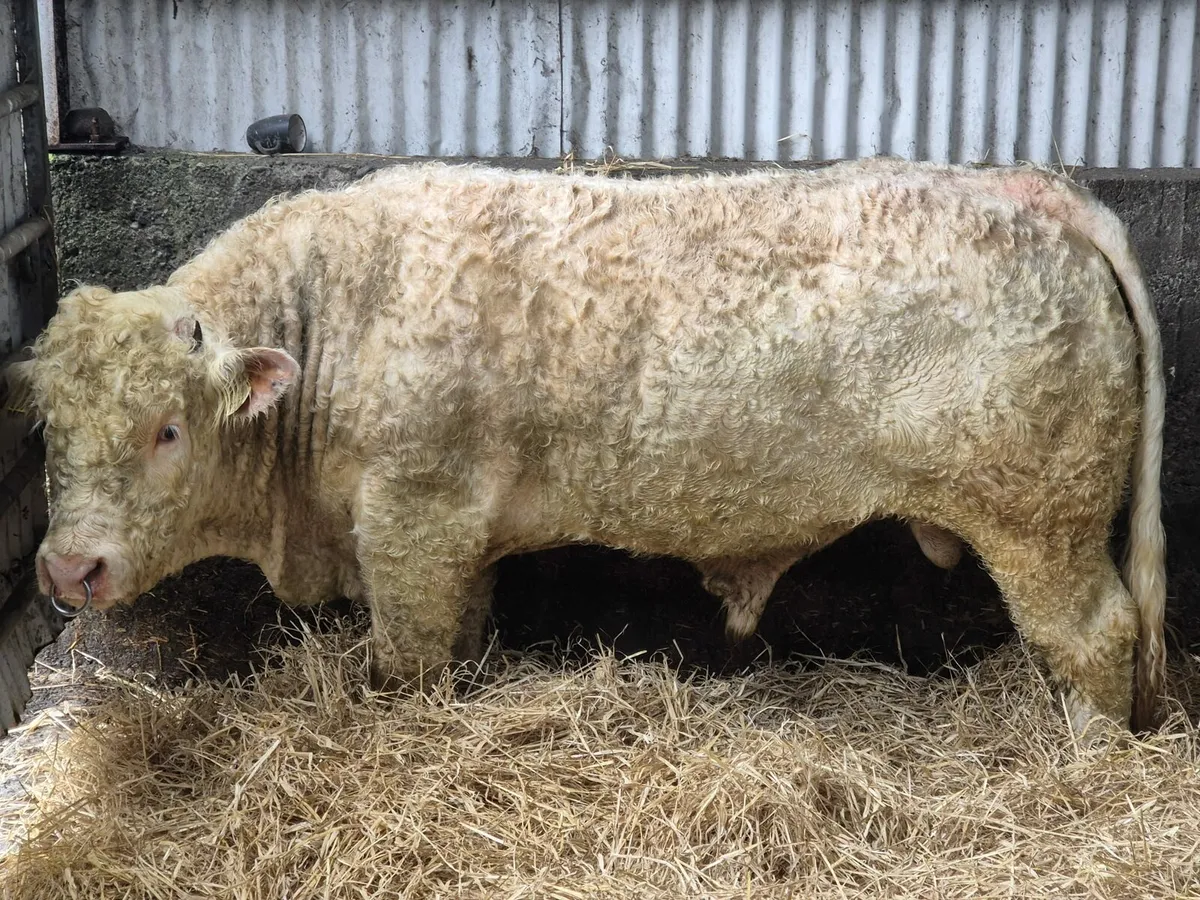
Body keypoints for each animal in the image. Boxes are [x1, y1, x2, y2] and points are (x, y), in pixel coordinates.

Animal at [6, 158, 1165, 735]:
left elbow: (407, 663)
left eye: (166, 430)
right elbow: (462, 639)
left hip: (1042, 520)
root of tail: (1029, 187)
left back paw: (1090, 751)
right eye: (51, 428)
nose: (67, 569)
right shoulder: (453, 538)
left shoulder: (410, 520)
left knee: (1100, 633)